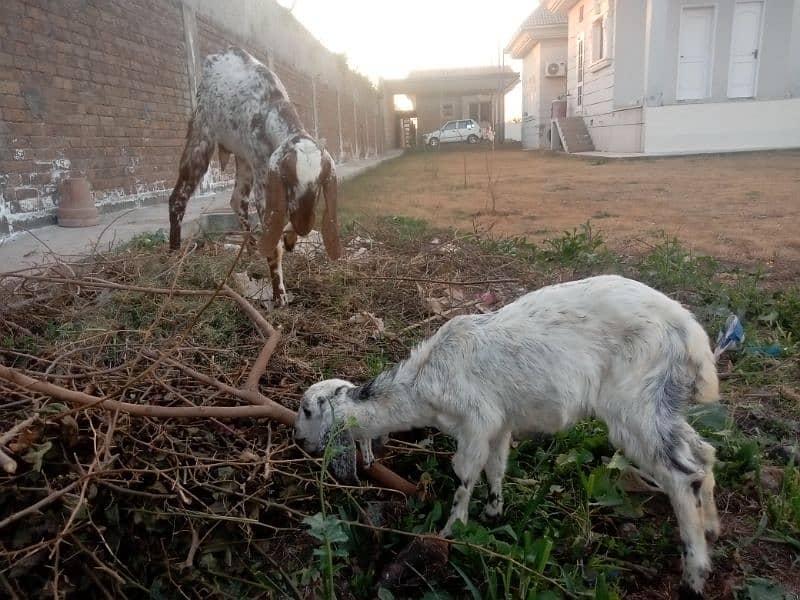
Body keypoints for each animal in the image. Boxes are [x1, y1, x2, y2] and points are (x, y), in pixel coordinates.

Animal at [167, 46, 342, 304]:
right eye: (288, 179)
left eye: (319, 183)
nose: (303, 227)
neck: (270, 106)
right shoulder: (264, 177)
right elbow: (274, 237)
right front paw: (279, 294)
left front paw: (290, 239)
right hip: (202, 136)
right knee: (178, 197)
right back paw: (174, 253)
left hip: (243, 159)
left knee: (237, 200)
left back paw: (249, 248)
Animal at [294, 274, 724, 596]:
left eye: (307, 409)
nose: (299, 441)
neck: (422, 382)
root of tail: (693, 338)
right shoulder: (499, 424)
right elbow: (496, 468)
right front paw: (493, 511)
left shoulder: (477, 419)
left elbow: (465, 474)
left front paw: (451, 531)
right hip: (663, 402)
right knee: (703, 454)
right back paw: (712, 527)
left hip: (635, 403)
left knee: (680, 475)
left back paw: (694, 573)